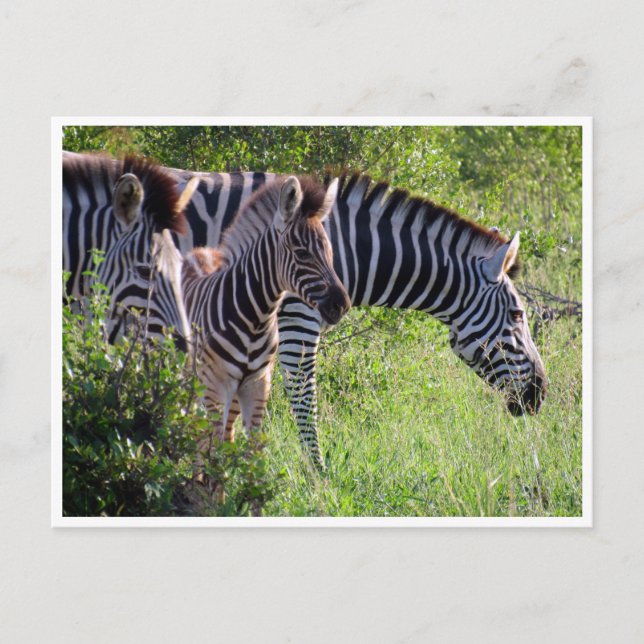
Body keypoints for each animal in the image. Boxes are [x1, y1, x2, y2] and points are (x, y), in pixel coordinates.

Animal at [62, 152, 547, 467]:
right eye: (518, 316)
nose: (540, 395)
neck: (346, 246)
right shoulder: (296, 318)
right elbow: (303, 398)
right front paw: (319, 478)